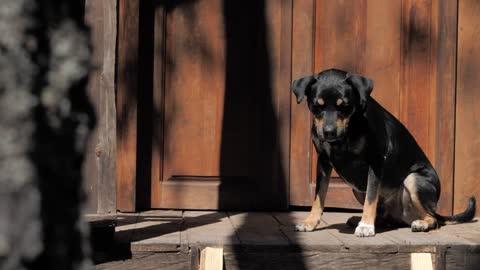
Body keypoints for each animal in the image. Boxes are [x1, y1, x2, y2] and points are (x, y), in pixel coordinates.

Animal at [292, 69, 476, 236]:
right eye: (317, 106)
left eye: (344, 105)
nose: (329, 132)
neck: (350, 129)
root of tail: (401, 216)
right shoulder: (323, 161)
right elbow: (318, 196)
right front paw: (310, 222)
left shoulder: (375, 161)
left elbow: (371, 196)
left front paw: (366, 226)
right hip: (357, 190)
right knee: (384, 216)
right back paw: (359, 219)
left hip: (414, 179)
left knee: (434, 219)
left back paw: (420, 223)